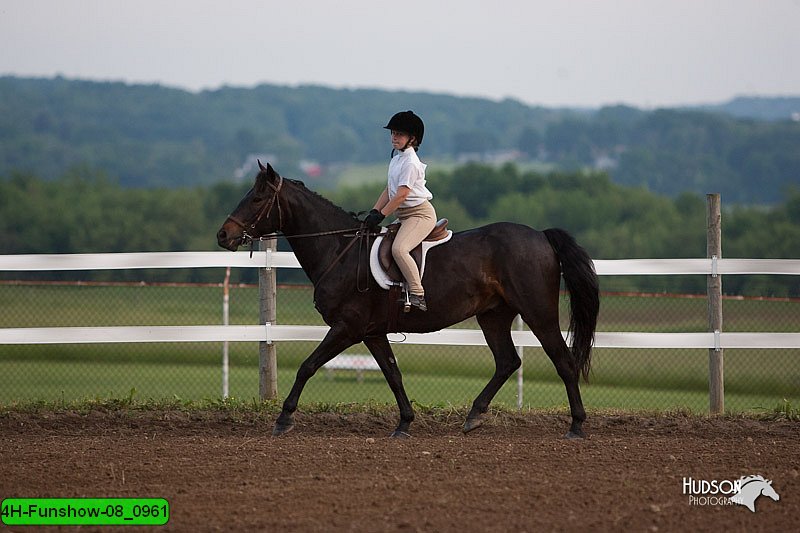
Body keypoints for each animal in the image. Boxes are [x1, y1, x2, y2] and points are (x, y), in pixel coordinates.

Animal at [216, 162, 596, 436]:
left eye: (257, 199)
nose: (223, 234)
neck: (340, 250)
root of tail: (541, 237)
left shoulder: (347, 327)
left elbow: (307, 366)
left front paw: (283, 419)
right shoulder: (371, 332)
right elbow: (393, 374)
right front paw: (404, 423)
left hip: (538, 313)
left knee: (563, 361)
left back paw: (576, 425)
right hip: (493, 315)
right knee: (507, 362)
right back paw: (474, 416)